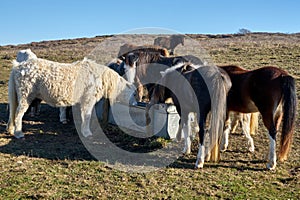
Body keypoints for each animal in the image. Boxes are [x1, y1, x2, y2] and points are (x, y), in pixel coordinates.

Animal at [7, 49, 136, 138]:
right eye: (134, 94)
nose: (135, 104)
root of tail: (18, 66)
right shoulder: (88, 100)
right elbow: (87, 116)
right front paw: (87, 133)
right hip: (25, 95)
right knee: (18, 114)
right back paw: (19, 133)